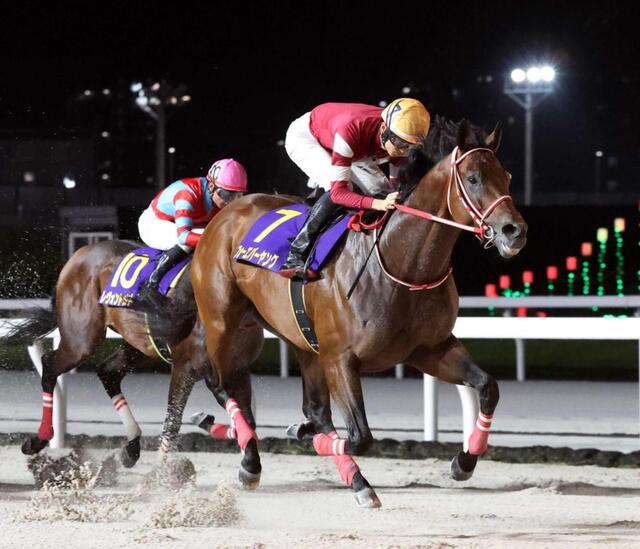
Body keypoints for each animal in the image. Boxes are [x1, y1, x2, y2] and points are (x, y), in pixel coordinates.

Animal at [4, 239, 263, 481]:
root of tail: (79, 254)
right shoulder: (187, 367)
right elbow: (173, 420)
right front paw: (160, 476)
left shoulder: (238, 369)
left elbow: (247, 418)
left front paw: (248, 462)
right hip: (81, 340)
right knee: (49, 365)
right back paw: (38, 439)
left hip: (137, 346)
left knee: (107, 371)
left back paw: (131, 447)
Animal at [190, 116, 528, 507]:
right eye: (473, 178)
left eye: (507, 176)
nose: (514, 231)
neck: (401, 264)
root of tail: (224, 215)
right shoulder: (340, 358)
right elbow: (360, 436)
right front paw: (307, 439)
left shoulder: (430, 348)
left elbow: (488, 387)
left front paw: (464, 461)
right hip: (222, 321)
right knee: (220, 383)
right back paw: (245, 454)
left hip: (303, 341)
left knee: (309, 408)